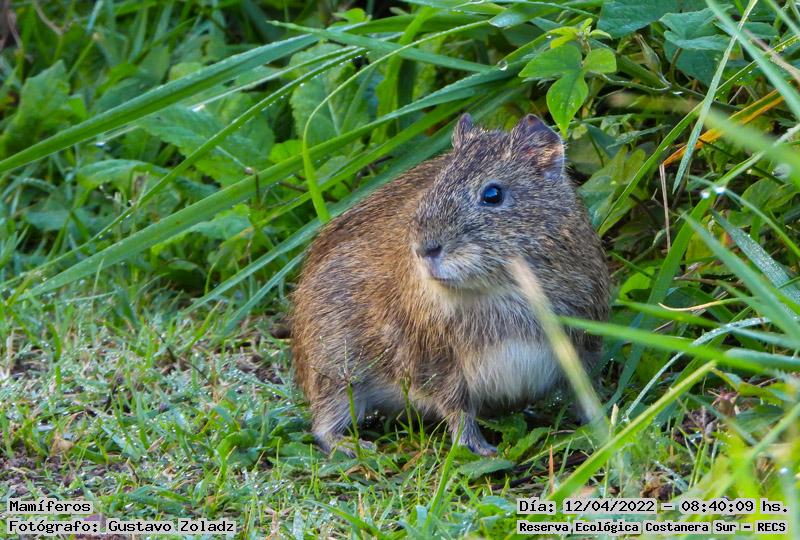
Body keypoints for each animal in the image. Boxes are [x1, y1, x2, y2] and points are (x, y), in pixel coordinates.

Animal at [290, 113, 610, 456]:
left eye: (493, 194)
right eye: (436, 184)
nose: (424, 249)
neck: (503, 294)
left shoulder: (582, 344)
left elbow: (584, 392)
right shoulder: (437, 366)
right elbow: (458, 411)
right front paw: (482, 450)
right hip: (338, 374)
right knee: (324, 424)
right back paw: (357, 447)